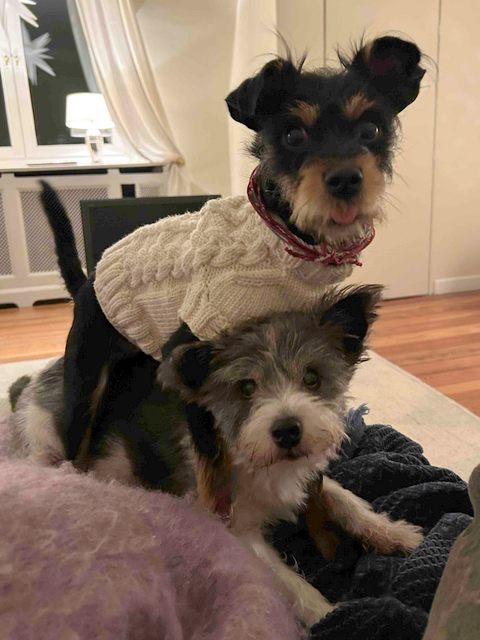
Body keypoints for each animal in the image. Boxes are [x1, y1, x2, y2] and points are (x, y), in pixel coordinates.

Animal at [9, 284, 423, 627]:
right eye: (245, 387)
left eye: (311, 377)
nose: (288, 430)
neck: (262, 463)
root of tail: (39, 376)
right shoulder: (234, 527)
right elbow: (287, 581)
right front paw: (330, 614)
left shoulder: (309, 477)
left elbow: (344, 498)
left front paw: (395, 533)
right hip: (48, 439)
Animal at [40, 35, 426, 470]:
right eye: (293, 136)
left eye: (371, 129)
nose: (345, 179)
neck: (283, 239)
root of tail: (89, 280)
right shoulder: (191, 354)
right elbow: (211, 446)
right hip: (84, 381)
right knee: (76, 446)